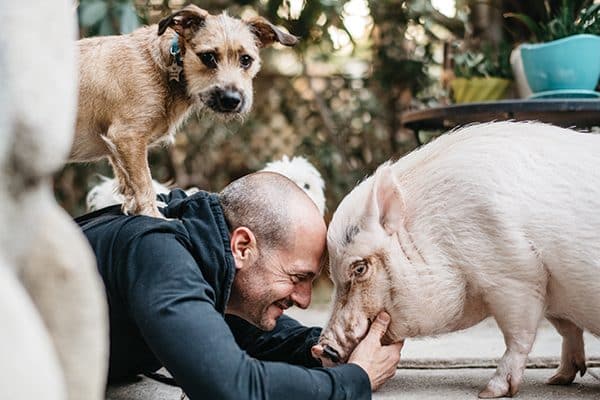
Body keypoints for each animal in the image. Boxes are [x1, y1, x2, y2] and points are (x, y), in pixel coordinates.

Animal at [70, 4, 298, 217]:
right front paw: (154, 216)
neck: (167, 65)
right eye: (208, 57)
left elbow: (127, 182)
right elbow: (144, 184)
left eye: (246, 60)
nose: (232, 100)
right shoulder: (127, 137)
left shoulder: (117, 148)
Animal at [322, 121, 600, 396]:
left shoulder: (517, 276)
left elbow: (519, 335)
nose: (320, 348)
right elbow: (567, 329)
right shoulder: (553, 293)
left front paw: (489, 392)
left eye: (359, 269)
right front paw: (558, 379)